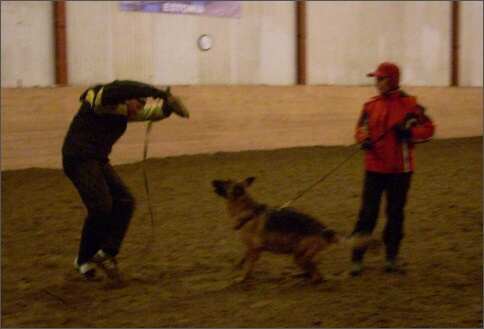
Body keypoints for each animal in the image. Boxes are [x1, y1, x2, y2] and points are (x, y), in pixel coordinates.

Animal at [212, 176, 344, 284]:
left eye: (226, 182)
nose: (213, 180)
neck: (245, 209)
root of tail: (325, 230)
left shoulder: (254, 250)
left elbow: (247, 267)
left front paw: (242, 278)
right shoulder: (249, 247)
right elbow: (242, 257)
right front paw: (237, 265)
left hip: (301, 256)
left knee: (318, 277)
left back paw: (305, 281)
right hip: (298, 256)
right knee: (311, 272)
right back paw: (297, 274)